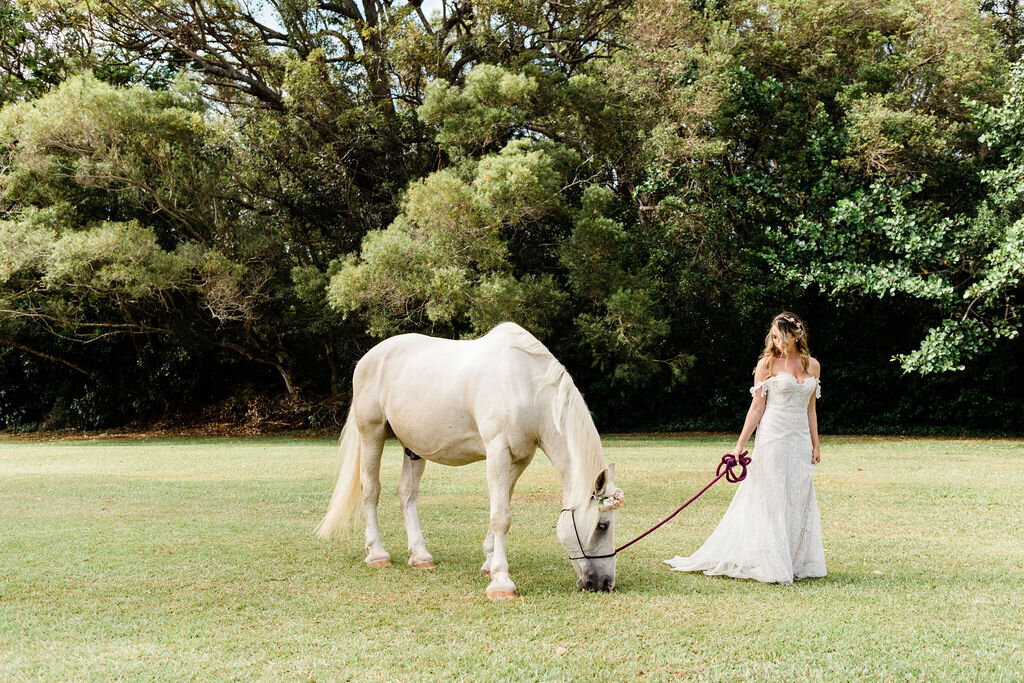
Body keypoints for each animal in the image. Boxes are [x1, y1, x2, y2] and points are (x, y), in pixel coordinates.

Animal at [315, 321, 618, 598]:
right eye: (603, 525)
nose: (605, 583)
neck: (527, 387)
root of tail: (367, 358)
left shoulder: (518, 459)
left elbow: (501, 508)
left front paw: (489, 563)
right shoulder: (497, 452)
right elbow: (501, 517)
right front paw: (501, 582)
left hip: (413, 447)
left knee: (406, 493)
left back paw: (420, 556)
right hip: (372, 433)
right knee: (370, 489)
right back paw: (377, 554)